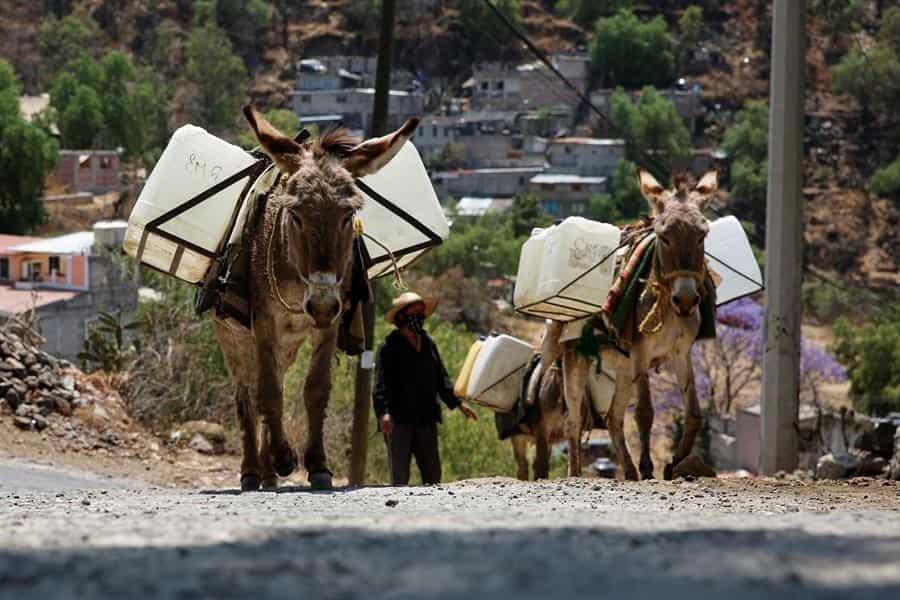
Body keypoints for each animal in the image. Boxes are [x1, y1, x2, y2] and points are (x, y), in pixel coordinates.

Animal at [213, 106, 419, 491]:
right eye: (294, 214)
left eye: (349, 214)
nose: (321, 305)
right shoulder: (264, 323)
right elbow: (266, 392)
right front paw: (284, 457)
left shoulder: (329, 323)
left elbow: (315, 390)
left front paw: (317, 466)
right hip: (233, 336)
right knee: (245, 393)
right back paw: (252, 471)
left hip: (289, 343)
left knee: (273, 382)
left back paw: (267, 471)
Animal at [548, 169, 719, 481]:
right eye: (664, 237)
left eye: (702, 235)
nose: (686, 300)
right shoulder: (640, 352)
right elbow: (644, 412)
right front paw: (649, 467)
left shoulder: (681, 352)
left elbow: (694, 414)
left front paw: (676, 463)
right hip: (576, 358)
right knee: (574, 420)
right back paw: (576, 472)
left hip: (624, 370)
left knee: (613, 418)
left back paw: (628, 470)